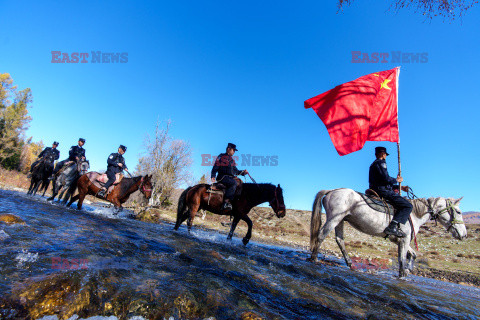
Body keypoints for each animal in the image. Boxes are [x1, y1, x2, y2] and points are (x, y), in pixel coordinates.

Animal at [310, 190, 466, 278]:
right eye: (458, 212)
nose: (463, 235)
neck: (415, 213)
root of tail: (331, 191)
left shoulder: (401, 239)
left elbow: (413, 254)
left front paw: (409, 270)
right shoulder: (404, 240)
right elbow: (402, 260)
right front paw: (403, 275)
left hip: (341, 220)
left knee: (339, 240)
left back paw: (350, 263)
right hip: (334, 218)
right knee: (321, 235)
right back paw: (314, 258)